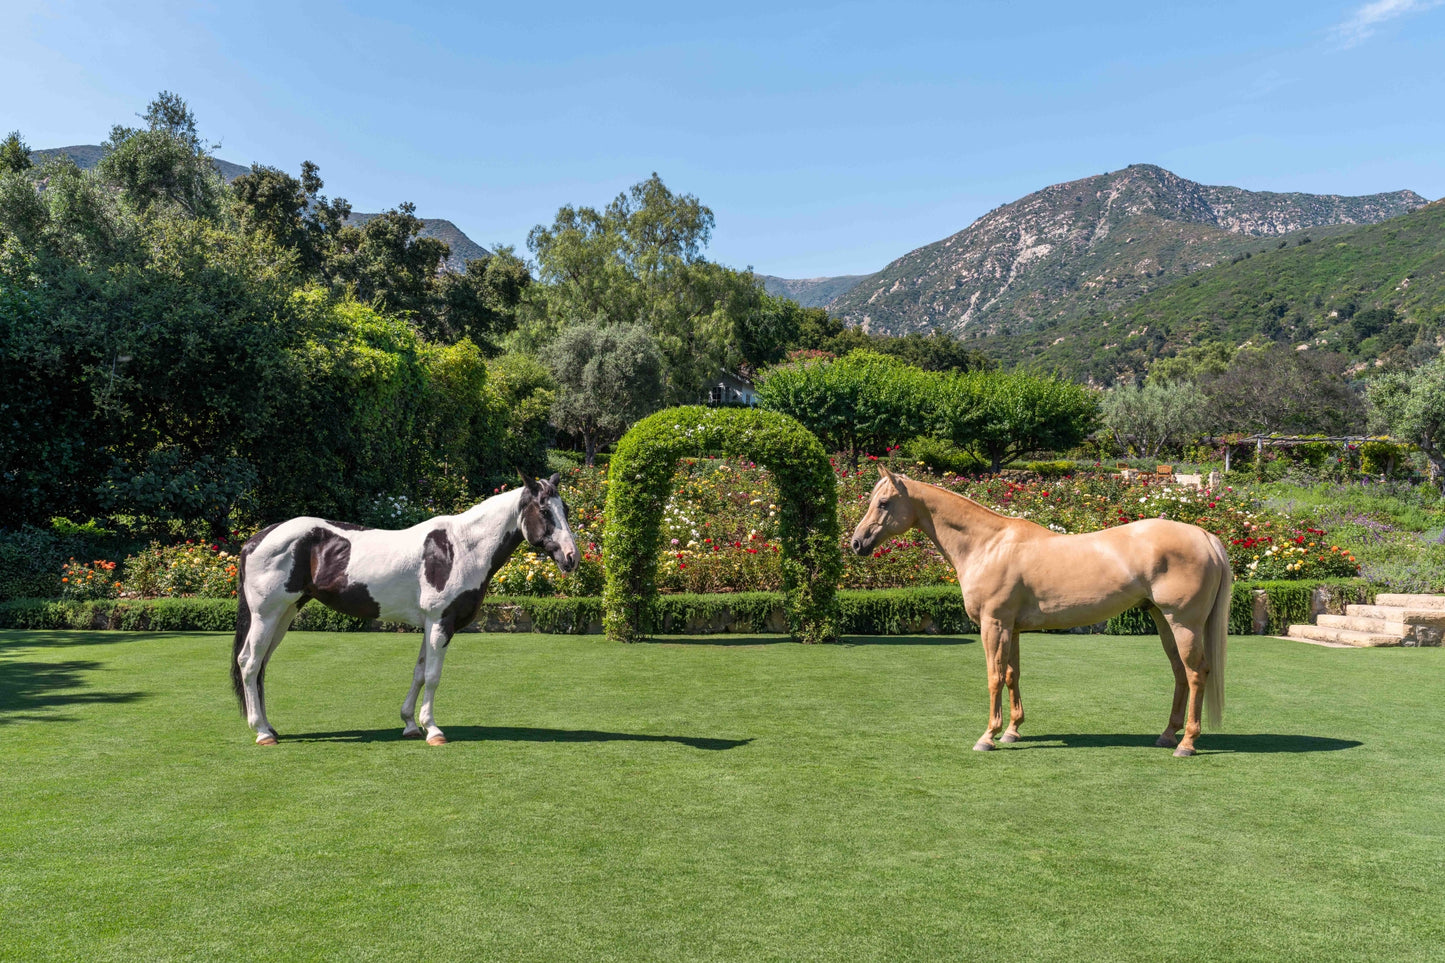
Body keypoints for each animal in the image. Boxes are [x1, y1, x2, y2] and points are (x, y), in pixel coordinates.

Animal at [225, 471, 575, 740]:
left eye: (567, 510)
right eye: (544, 511)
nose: (571, 557)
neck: (461, 547)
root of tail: (255, 540)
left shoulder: (430, 625)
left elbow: (419, 672)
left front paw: (410, 724)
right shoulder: (441, 622)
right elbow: (433, 675)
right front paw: (432, 729)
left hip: (284, 615)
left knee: (261, 665)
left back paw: (269, 726)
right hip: (265, 616)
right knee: (250, 663)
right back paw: (262, 732)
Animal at [843, 465, 1231, 757]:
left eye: (883, 503)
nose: (857, 543)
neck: (988, 545)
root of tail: (1205, 536)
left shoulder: (993, 625)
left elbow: (994, 677)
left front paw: (988, 737)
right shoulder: (1011, 628)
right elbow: (1012, 675)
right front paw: (1012, 731)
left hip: (1183, 623)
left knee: (1196, 673)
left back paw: (1186, 743)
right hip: (1164, 621)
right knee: (1180, 673)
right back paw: (1167, 735)